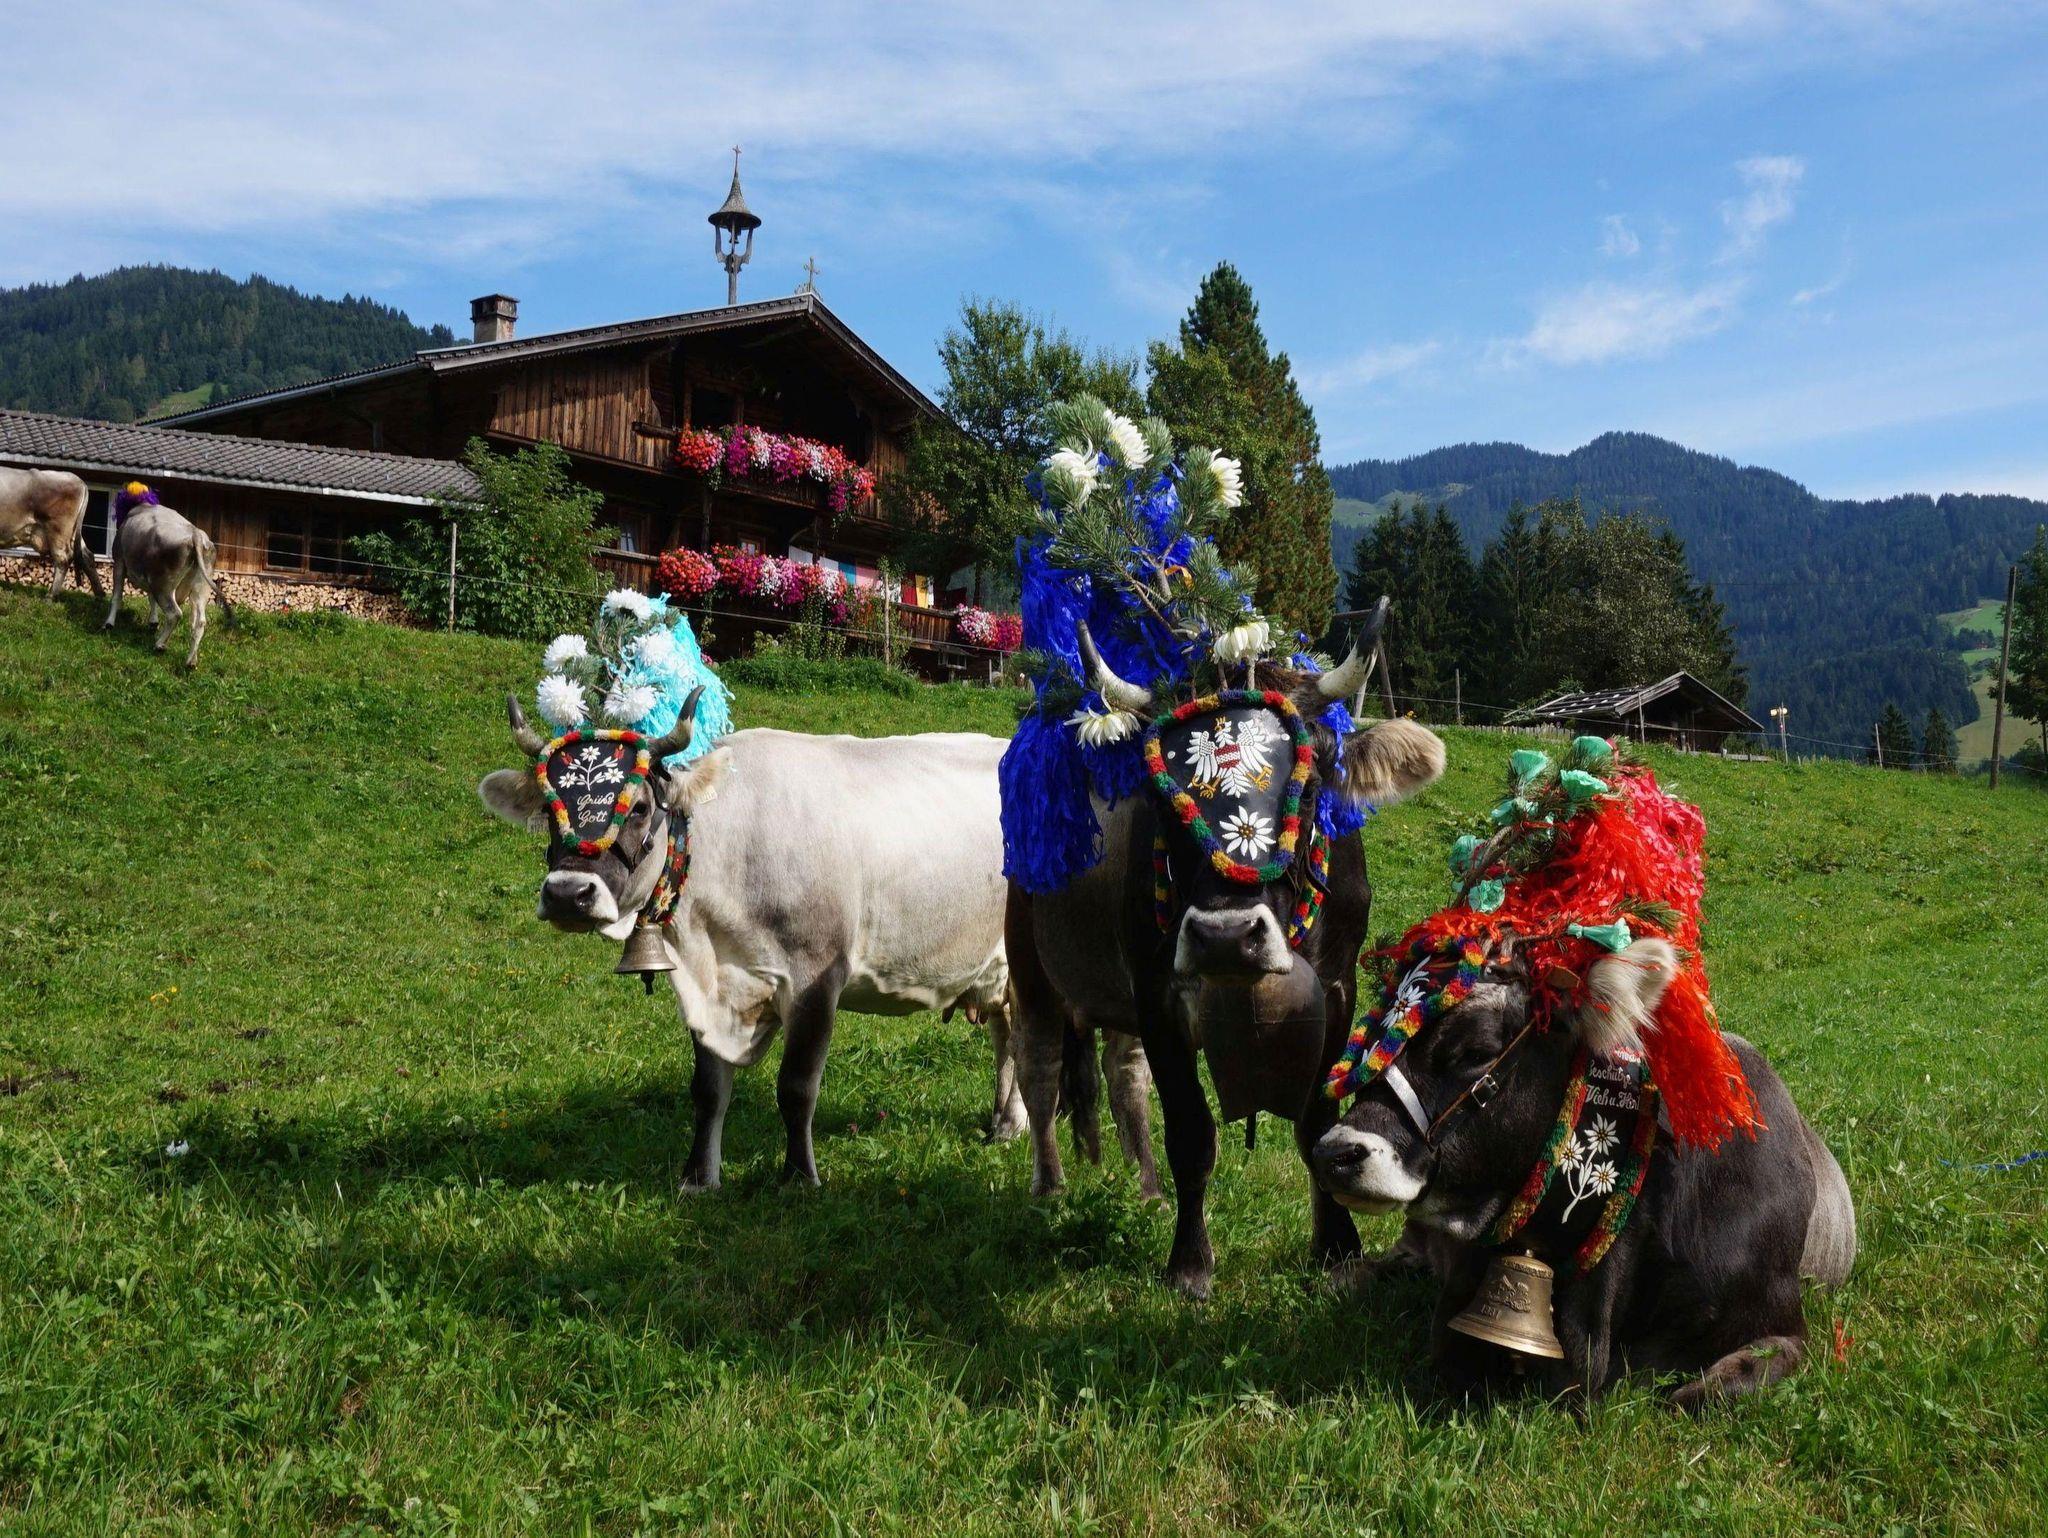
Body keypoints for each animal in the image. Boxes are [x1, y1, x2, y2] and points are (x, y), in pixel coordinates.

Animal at [0, 466, 103, 598]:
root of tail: (79, 480)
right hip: (72, 532)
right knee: (87, 556)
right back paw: (100, 595)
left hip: (58, 529)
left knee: (63, 559)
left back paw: (50, 595)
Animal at [101, 484, 227, 669]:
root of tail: (195, 534)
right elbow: (150, 599)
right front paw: (153, 622)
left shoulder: (119, 562)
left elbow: (116, 596)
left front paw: (109, 624)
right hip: (199, 588)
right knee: (199, 621)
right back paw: (191, 660)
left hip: (163, 585)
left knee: (175, 614)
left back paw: (160, 644)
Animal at [477, 698, 1151, 1190]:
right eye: (549, 807)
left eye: (640, 806)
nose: (569, 893)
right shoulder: (707, 987)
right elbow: (708, 1091)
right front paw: (698, 1178)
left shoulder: (816, 975)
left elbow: (796, 1087)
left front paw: (799, 1178)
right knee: (1007, 1037)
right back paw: (1006, 1125)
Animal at [1006, 608, 1447, 1298]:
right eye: (1162, 797)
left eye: (1310, 785)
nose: (1224, 935)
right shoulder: (1158, 996)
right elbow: (1190, 1133)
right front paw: (1190, 1264)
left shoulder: (1337, 990)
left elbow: (1316, 1124)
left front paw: (1337, 1247)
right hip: (1032, 968)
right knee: (1040, 1070)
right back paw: (1050, 1189)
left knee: (1122, 1077)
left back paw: (1148, 1190)